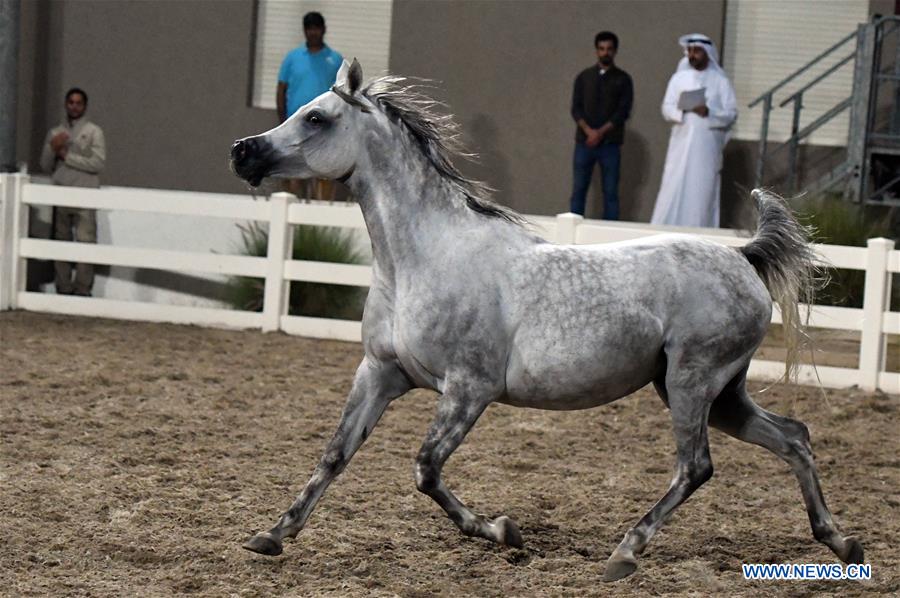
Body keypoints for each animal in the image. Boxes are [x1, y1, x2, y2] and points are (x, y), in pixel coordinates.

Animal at [230, 59, 863, 581]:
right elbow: (335, 455)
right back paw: (841, 542)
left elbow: (426, 470)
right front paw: (271, 535)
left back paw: (624, 553)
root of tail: (743, 256)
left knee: (696, 467)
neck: (424, 257)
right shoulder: (381, 374)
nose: (243, 151)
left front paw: (503, 531)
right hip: (720, 391)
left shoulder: (469, 389)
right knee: (794, 437)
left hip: (692, 382)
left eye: (316, 117)